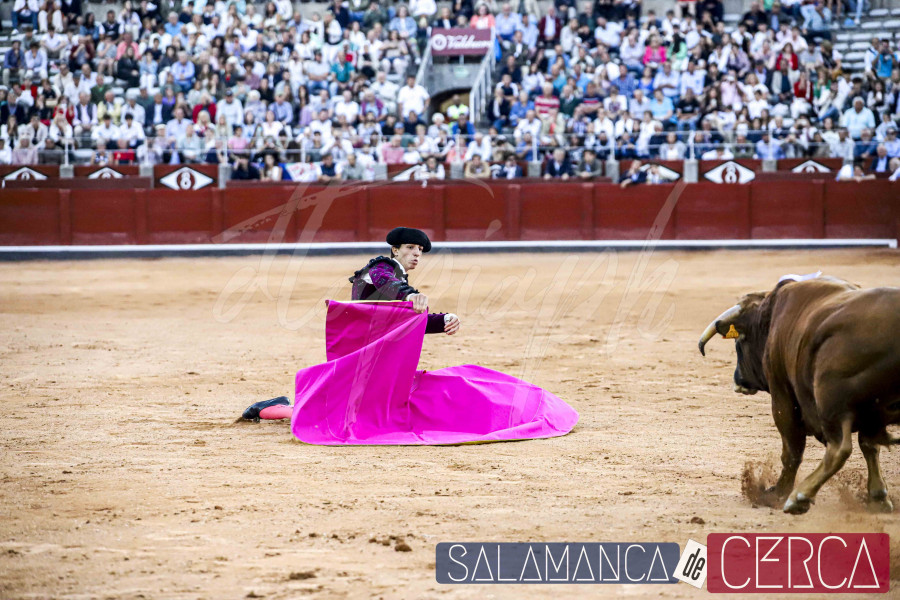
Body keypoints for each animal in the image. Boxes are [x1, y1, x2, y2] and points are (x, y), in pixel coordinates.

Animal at [704, 274, 900, 512]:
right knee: (864, 444)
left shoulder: (782, 396)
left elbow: (792, 450)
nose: (738, 379)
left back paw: (799, 497)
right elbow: (870, 447)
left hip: (830, 399)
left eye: (739, 341)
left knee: (840, 448)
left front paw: (777, 493)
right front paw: (878, 497)